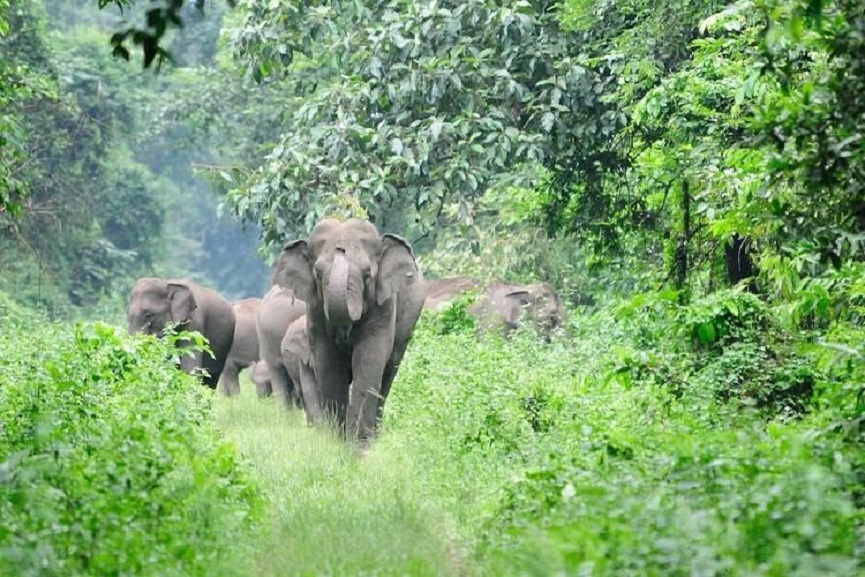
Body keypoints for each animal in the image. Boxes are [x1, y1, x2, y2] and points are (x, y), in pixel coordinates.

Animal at [272, 218, 425, 444]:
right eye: (318, 273)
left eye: (367, 274)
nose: (340, 249)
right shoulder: (315, 310)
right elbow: (329, 362)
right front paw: (336, 441)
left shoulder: (385, 304)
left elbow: (369, 358)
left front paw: (359, 445)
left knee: (388, 373)